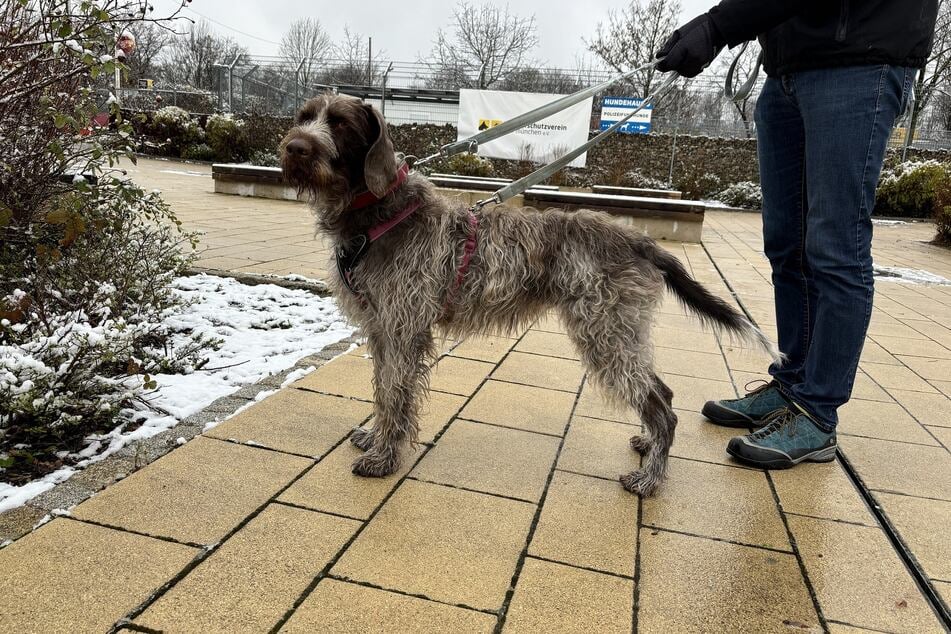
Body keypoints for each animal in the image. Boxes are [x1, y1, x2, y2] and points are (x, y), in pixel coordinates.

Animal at [278, 92, 776, 494]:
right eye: (304, 116)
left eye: (341, 123)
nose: (294, 147)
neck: (378, 213)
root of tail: (638, 239)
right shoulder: (381, 329)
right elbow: (383, 391)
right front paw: (375, 436)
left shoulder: (403, 331)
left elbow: (397, 394)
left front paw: (384, 456)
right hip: (620, 334)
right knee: (663, 394)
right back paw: (648, 445)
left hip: (606, 335)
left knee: (662, 406)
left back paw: (650, 480)